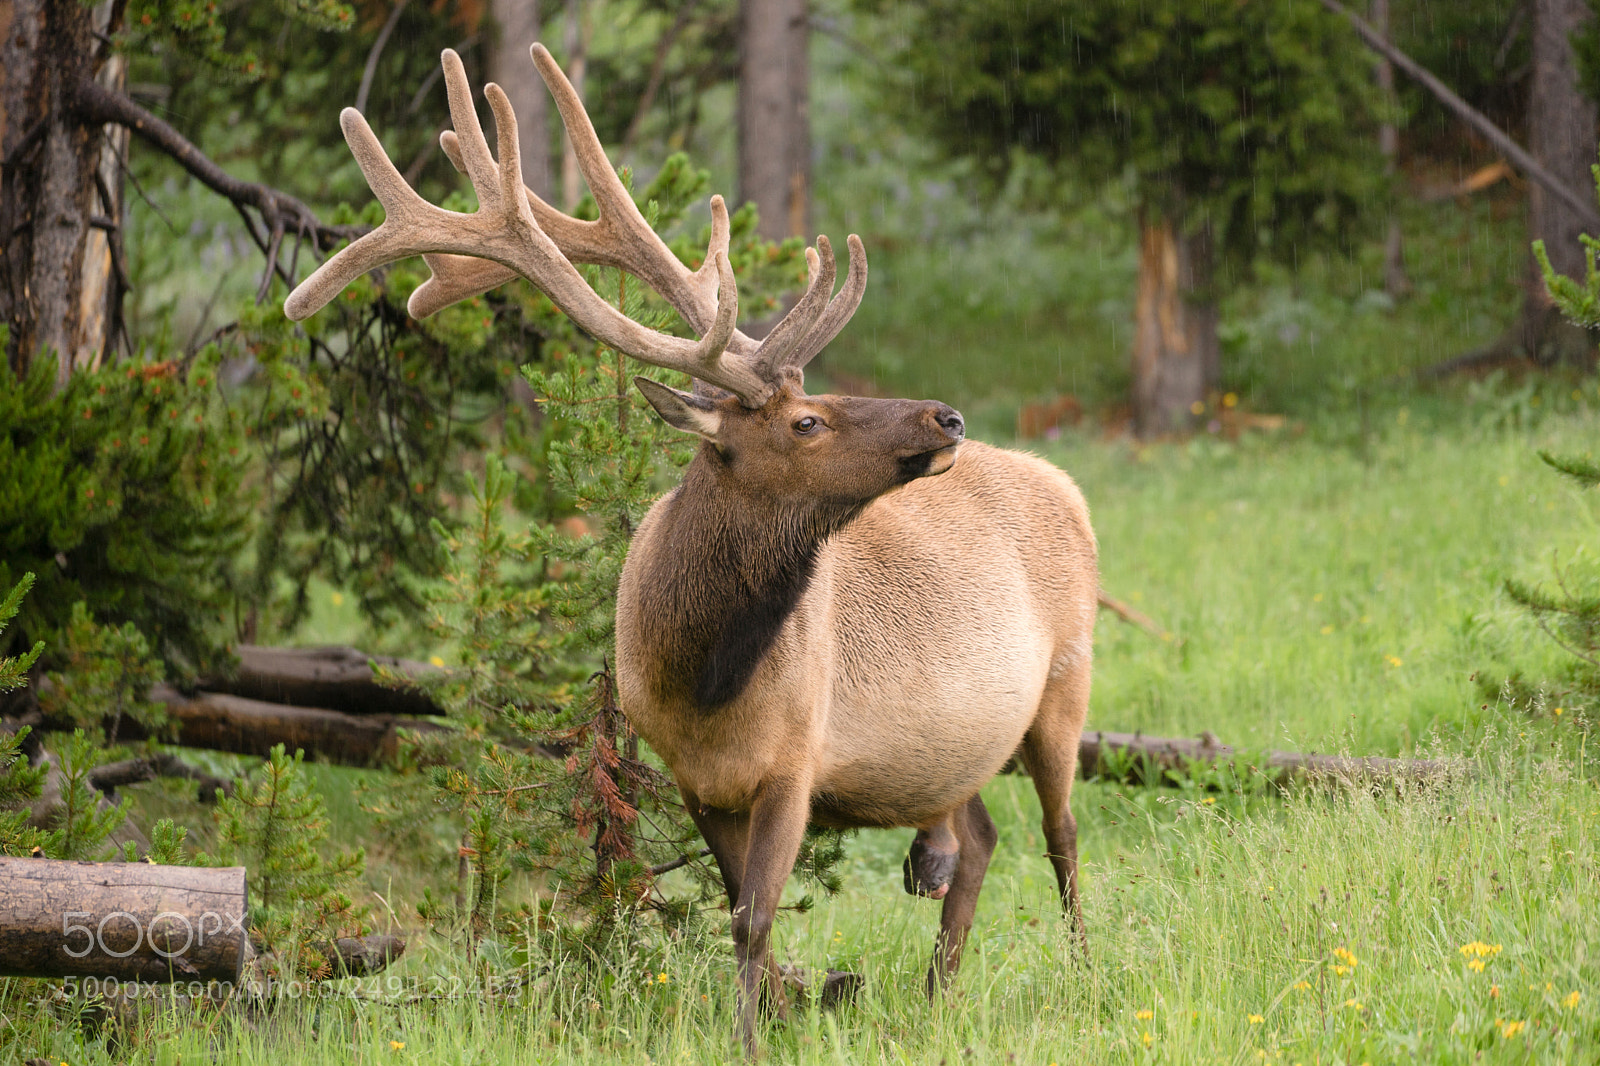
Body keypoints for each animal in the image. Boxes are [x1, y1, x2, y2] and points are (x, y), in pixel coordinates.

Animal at [284, 44, 1098, 1058]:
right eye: (806, 419)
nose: (945, 416)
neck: (704, 677)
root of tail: (1068, 484)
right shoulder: (695, 779)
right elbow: (738, 909)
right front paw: (776, 1015)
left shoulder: (797, 758)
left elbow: (755, 915)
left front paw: (754, 1034)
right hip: (956, 752)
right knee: (980, 837)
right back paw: (936, 996)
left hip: (1068, 684)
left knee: (1065, 838)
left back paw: (1085, 975)